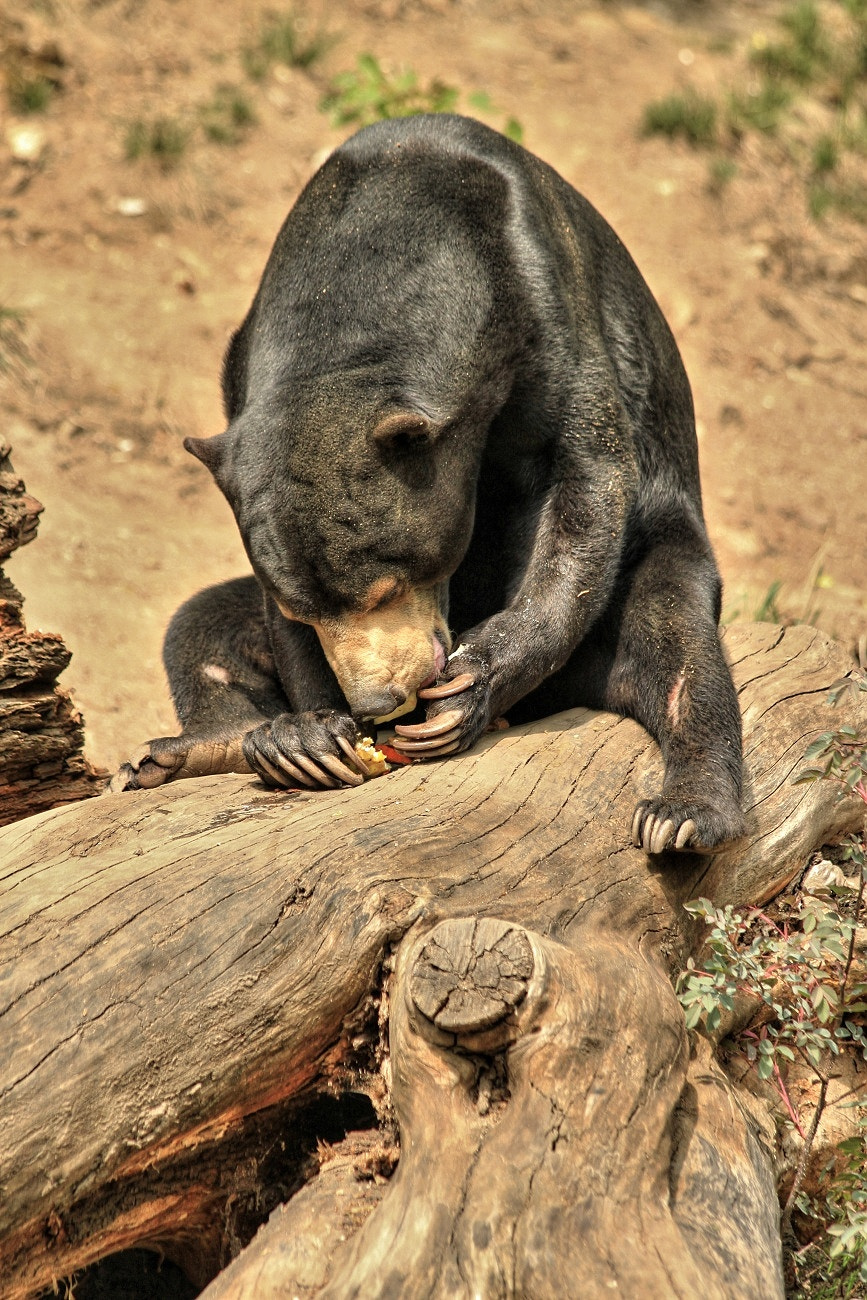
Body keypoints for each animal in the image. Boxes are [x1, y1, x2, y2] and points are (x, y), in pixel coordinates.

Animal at [112, 113, 745, 855]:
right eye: (305, 613)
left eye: (387, 587)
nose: (378, 703)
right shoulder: (239, 378)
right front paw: (310, 737)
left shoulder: (547, 307)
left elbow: (584, 481)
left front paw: (466, 690)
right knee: (199, 629)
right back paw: (194, 749)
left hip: (661, 557)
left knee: (677, 646)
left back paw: (682, 812)